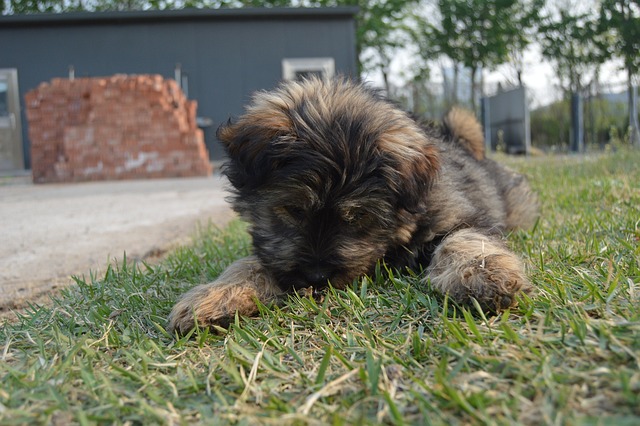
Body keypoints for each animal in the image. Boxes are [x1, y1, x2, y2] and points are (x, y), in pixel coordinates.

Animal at [168, 78, 536, 334]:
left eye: (358, 216)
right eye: (294, 209)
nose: (316, 277)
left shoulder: (459, 214)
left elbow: (462, 239)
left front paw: (483, 273)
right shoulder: (273, 249)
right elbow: (251, 262)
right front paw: (216, 295)